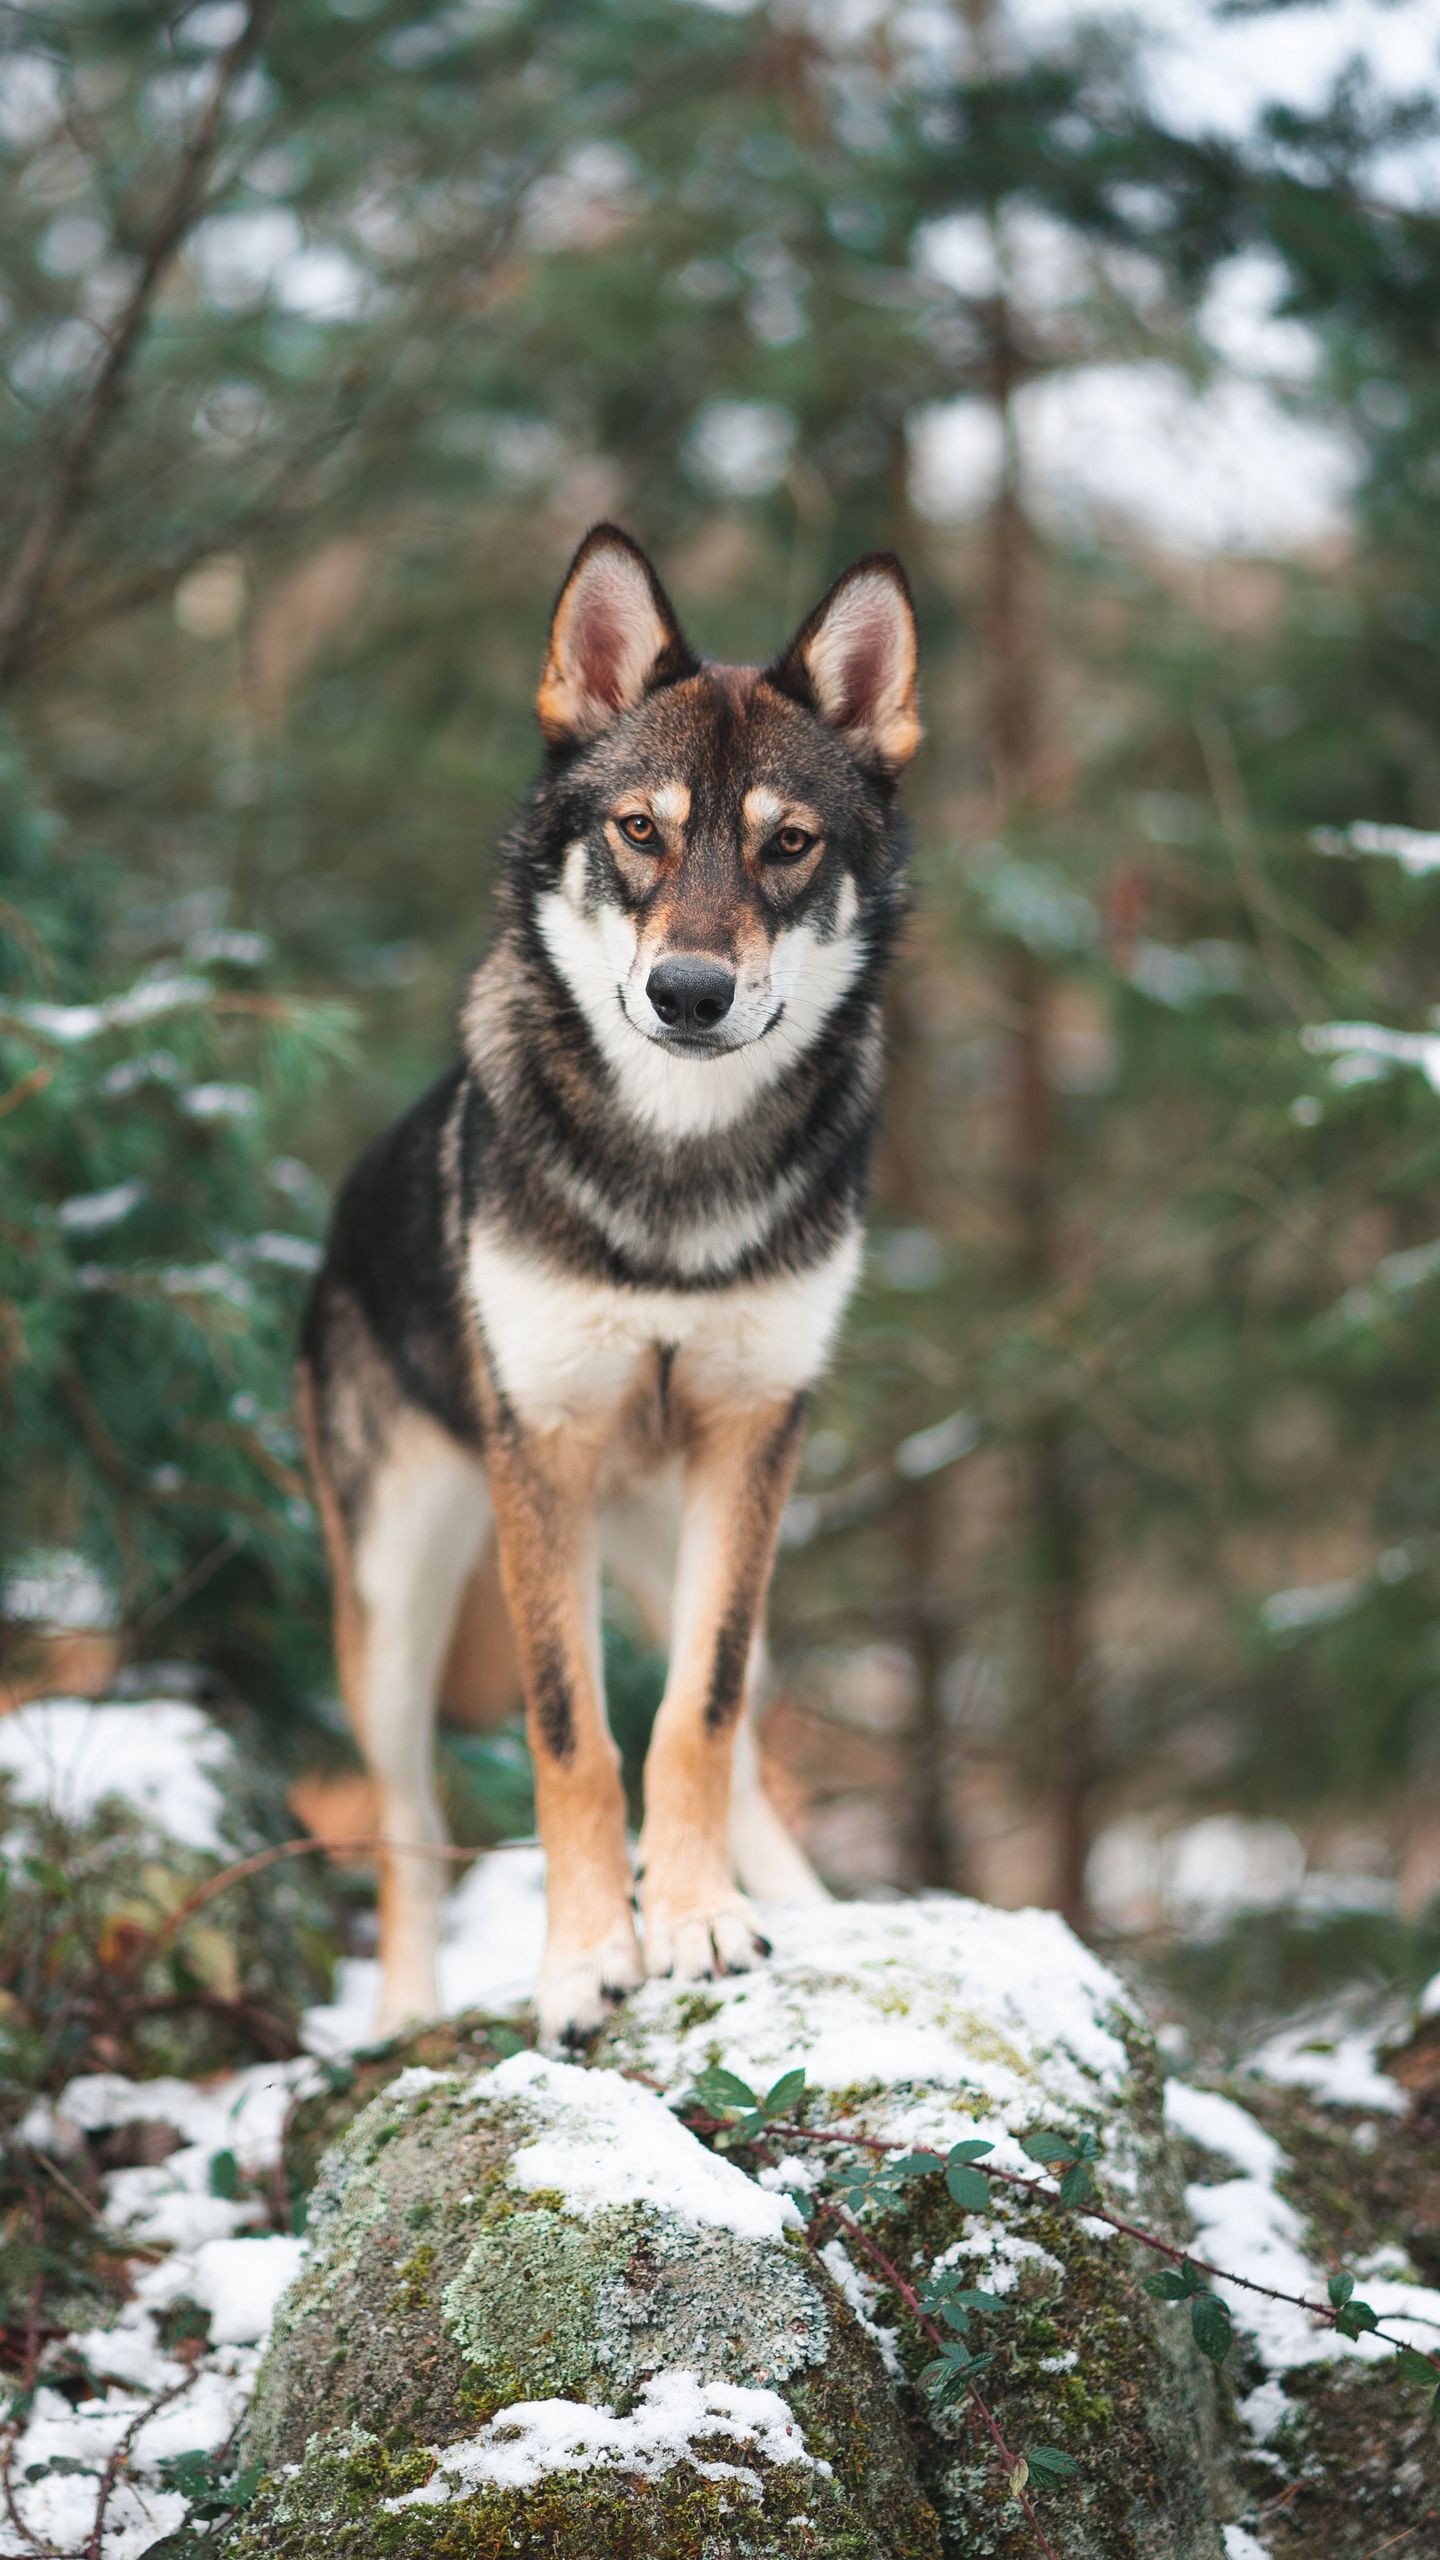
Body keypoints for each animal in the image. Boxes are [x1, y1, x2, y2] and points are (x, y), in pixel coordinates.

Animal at [299, 524, 917, 2037]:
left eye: (788, 845)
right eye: (641, 831)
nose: (691, 992)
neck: (674, 1179)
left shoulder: (756, 1439)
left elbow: (694, 1716)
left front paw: (695, 1924)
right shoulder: (548, 1454)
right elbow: (571, 1735)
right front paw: (587, 1959)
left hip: (692, 1537)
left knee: (740, 1733)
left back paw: (802, 1908)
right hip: (396, 1605)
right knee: (405, 1828)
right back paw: (403, 2017)